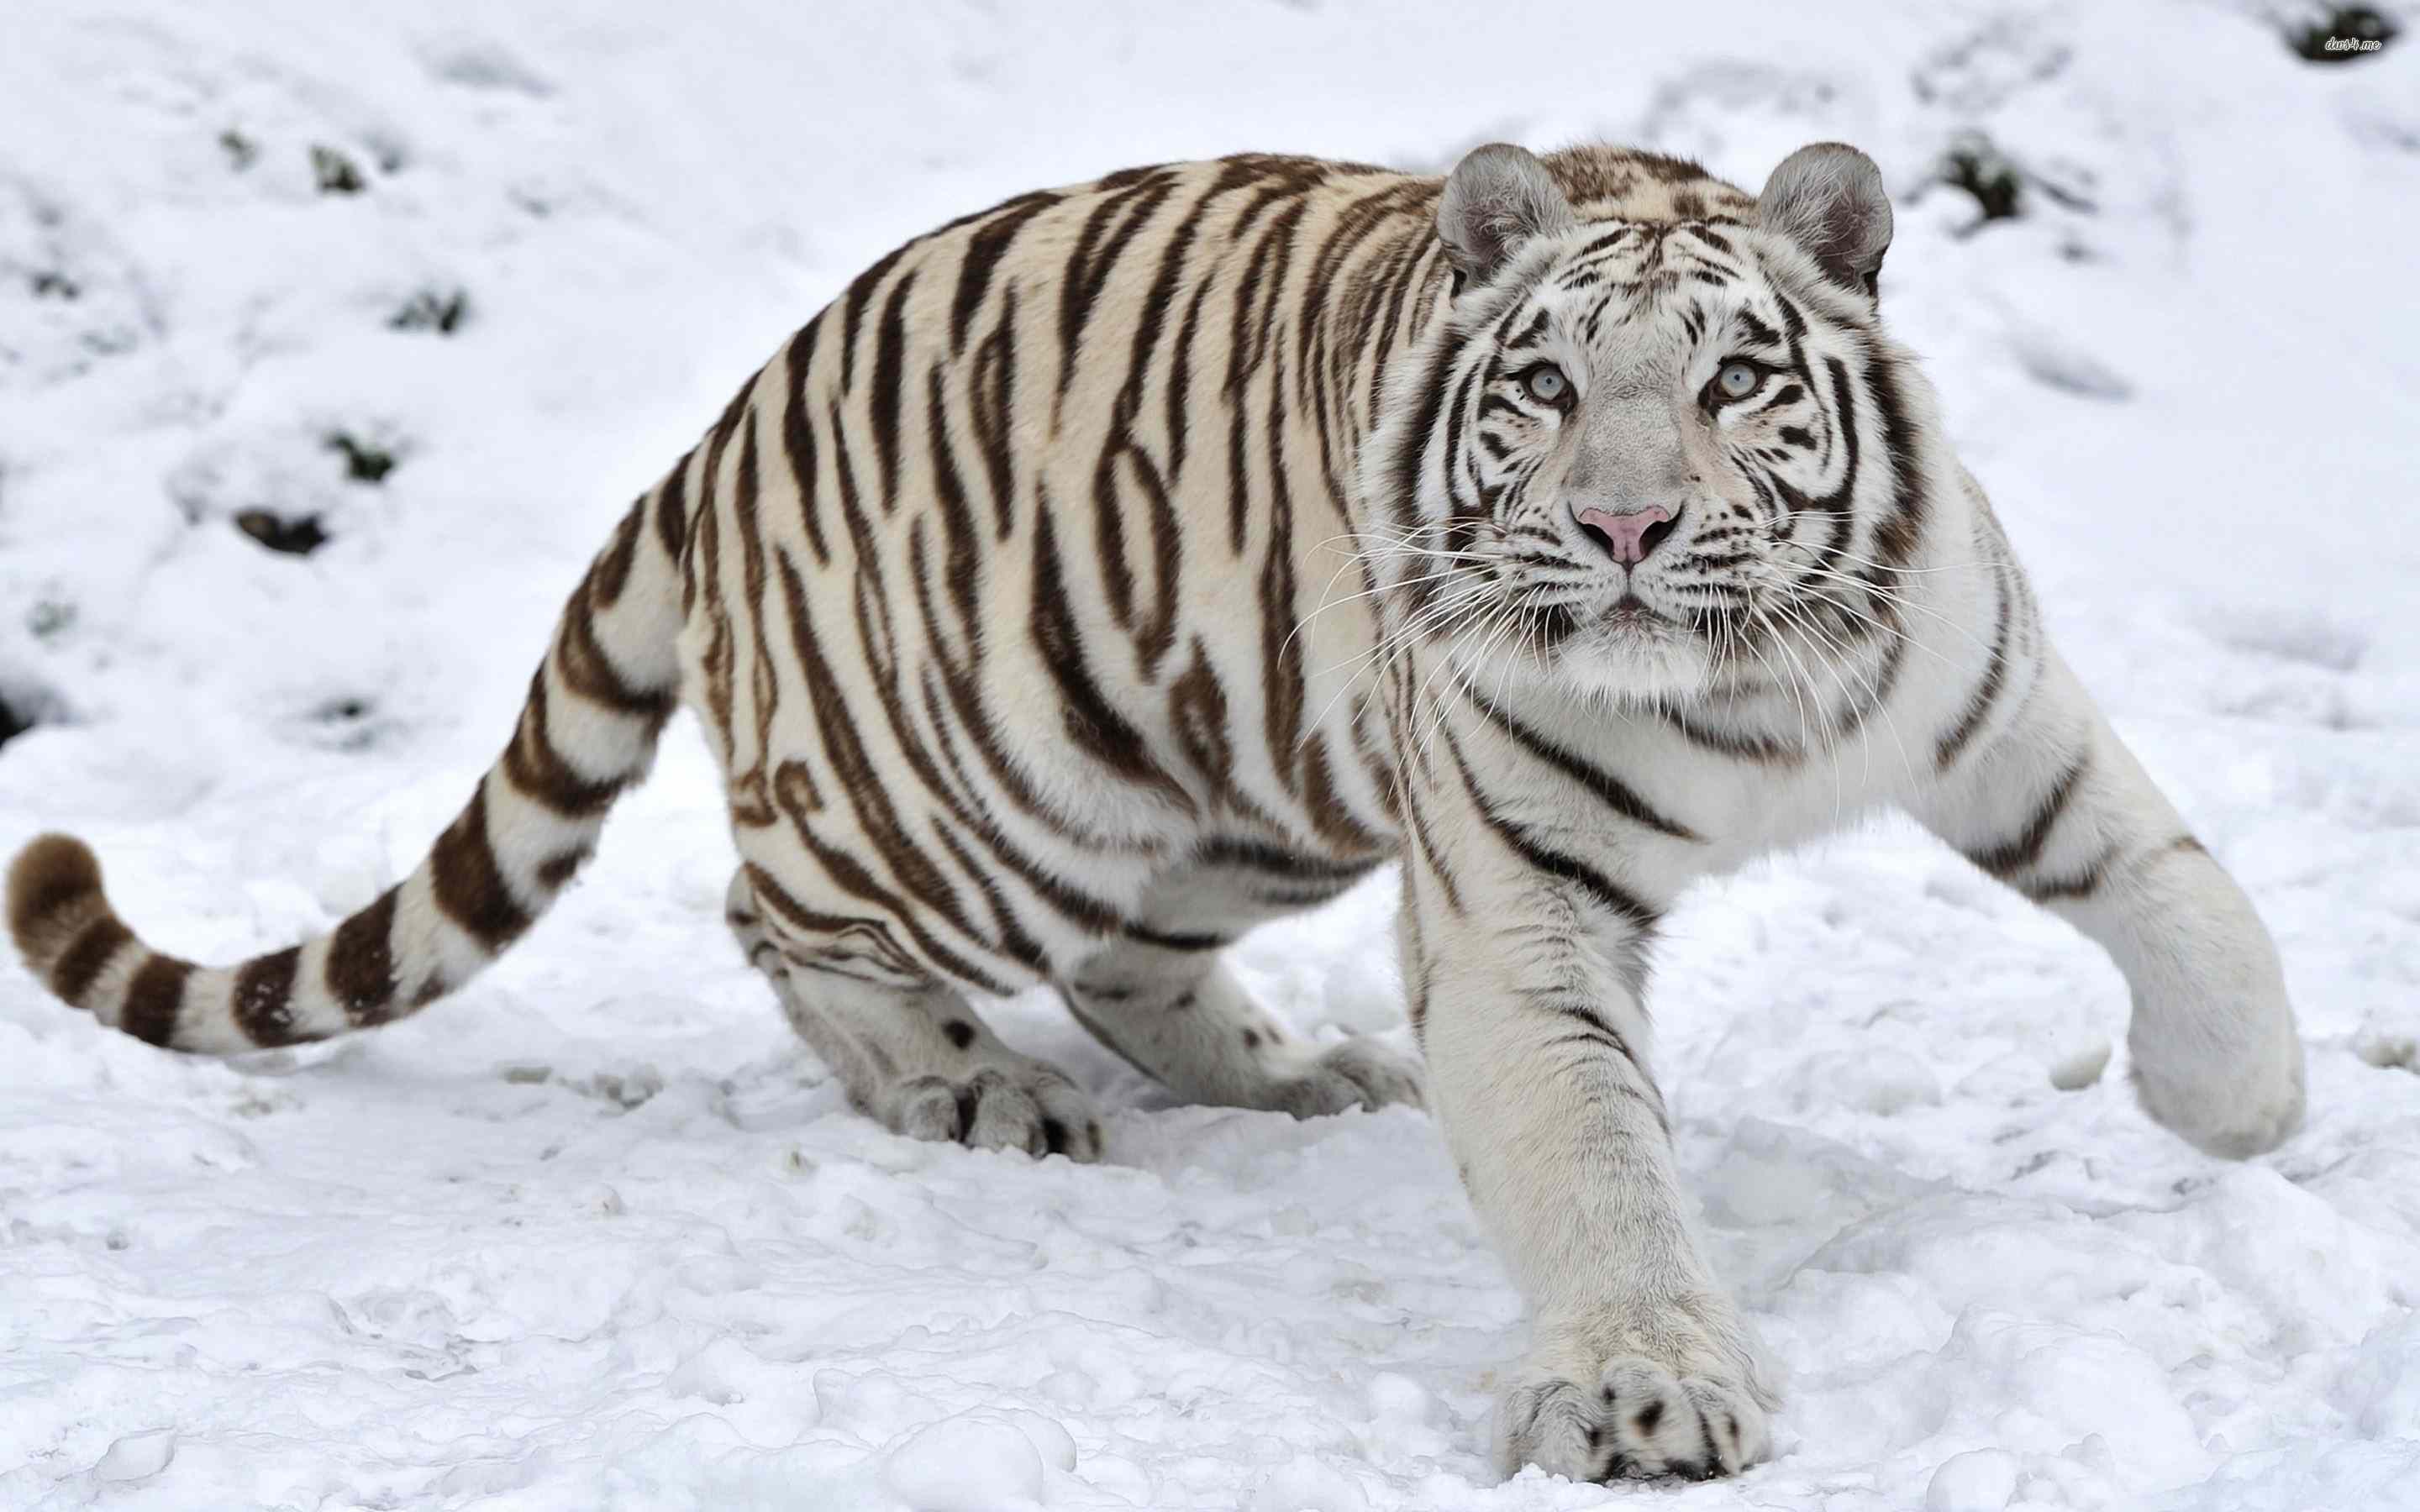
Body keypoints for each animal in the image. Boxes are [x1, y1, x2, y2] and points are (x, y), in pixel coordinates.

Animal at [5, 139, 2306, 1483]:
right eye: (1549, 388)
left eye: (1738, 381)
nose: (1627, 527)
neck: (1739, 689)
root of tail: (724, 421)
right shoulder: (1517, 911)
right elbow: (1601, 1168)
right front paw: (1644, 1390)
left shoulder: (1991, 704)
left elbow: (2187, 891)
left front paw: (2235, 1110)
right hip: (962, 787)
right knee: (778, 912)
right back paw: (971, 1088)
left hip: (1234, 779)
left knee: (1127, 958)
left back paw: (1297, 1076)